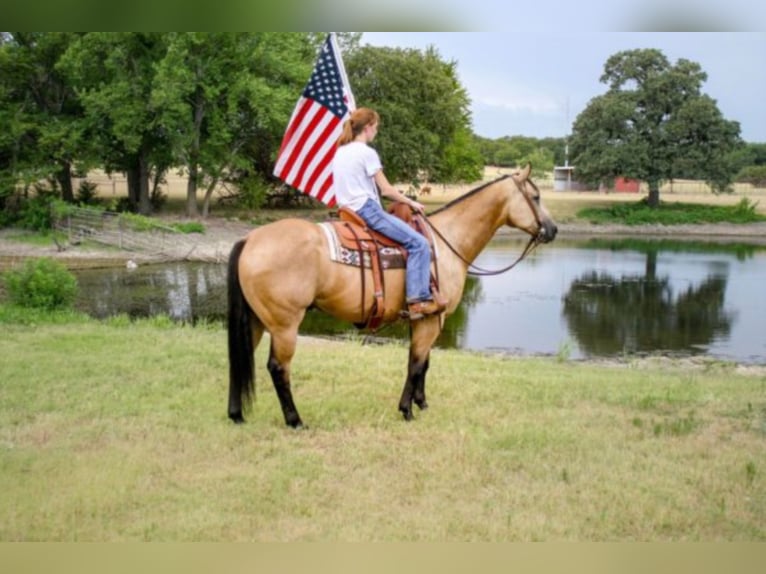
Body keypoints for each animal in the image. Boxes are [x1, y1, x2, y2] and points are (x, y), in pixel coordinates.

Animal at [226, 164, 560, 430]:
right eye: (536, 197)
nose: (553, 229)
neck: (446, 242)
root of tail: (250, 238)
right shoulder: (432, 320)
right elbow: (415, 363)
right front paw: (407, 410)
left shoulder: (425, 318)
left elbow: (424, 363)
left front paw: (422, 403)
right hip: (285, 325)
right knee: (278, 368)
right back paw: (295, 420)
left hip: (256, 320)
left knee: (240, 358)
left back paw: (237, 415)